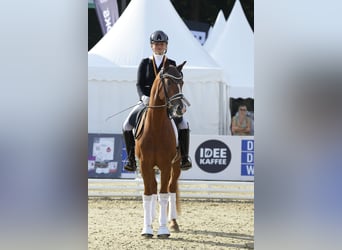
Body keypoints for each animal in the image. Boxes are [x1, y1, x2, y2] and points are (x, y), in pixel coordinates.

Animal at [136, 60, 190, 238]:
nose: (181, 109)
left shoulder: (166, 165)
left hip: (176, 165)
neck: (156, 126)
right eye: (169, 82)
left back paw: (172, 223)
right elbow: (148, 194)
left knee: (171, 189)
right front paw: (147, 229)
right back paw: (152, 217)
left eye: (182, 82)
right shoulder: (145, 164)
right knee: (153, 188)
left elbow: (165, 194)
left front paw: (163, 229)